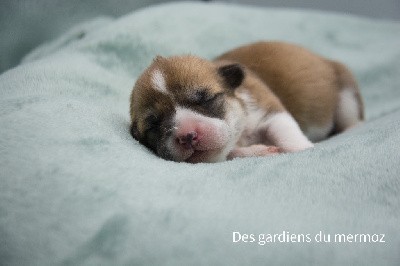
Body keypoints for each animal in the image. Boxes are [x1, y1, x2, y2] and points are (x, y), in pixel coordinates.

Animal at [130, 41, 364, 162]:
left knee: (353, 119)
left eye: (206, 98)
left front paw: (302, 149)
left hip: (346, 94)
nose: (188, 136)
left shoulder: (270, 110)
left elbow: (285, 132)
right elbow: (232, 153)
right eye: (154, 125)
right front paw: (260, 151)